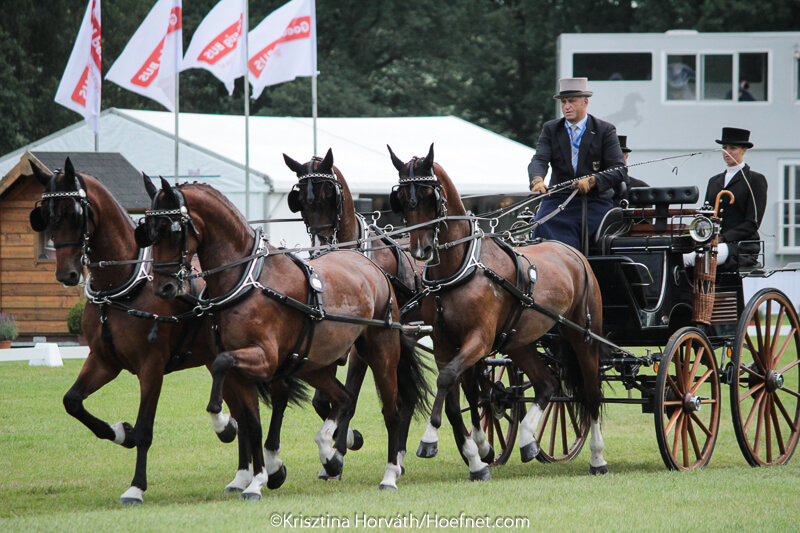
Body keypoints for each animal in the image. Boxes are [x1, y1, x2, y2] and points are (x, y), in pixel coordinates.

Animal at [26, 158, 261, 505]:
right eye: (46, 215)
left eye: (75, 213)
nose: (66, 274)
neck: (123, 287)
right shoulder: (103, 361)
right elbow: (73, 402)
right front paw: (121, 433)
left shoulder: (151, 367)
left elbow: (146, 428)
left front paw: (136, 487)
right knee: (242, 415)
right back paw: (241, 475)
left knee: (244, 413)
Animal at [136, 177, 431, 497]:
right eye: (148, 231)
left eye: (174, 230)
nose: (162, 288)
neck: (248, 279)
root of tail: (374, 268)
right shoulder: (244, 370)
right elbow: (251, 423)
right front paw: (258, 478)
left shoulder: (264, 358)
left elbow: (222, 368)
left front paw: (224, 427)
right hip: (312, 363)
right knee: (343, 397)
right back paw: (330, 456)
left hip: (381, 351)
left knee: (391, 411)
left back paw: (389, 473)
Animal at [387, 144, 608, 479]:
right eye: (400, 199)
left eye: (428, 195)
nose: (420, 250)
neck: (462, 266)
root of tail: (573, 252)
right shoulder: (443, 343)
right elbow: (454, 396)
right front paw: (477, 456)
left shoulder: (479, 339)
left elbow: (448, 380)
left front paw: (430, 439)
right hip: (520, 341)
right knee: (547, 383)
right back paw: (528, 439)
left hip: (584, 335)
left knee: (591, 392)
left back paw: (597, 457)